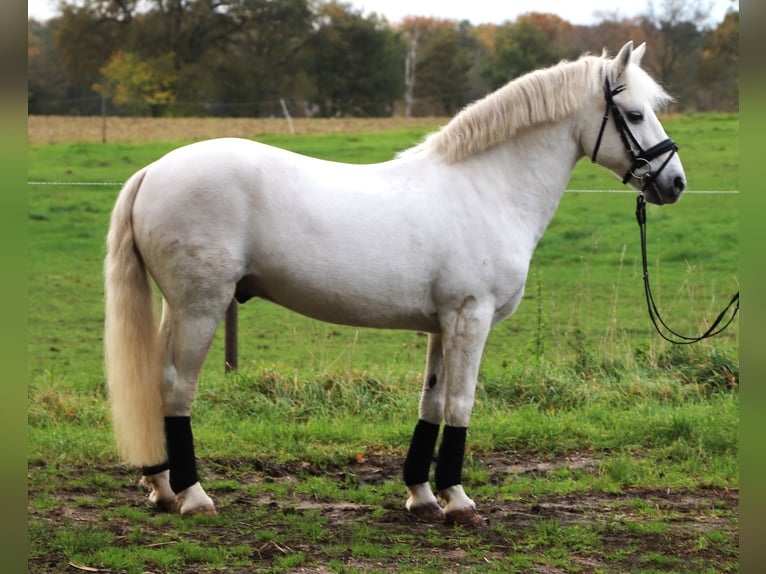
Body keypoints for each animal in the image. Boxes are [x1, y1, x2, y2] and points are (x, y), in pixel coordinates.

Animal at [104, 41, 685, 526]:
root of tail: (153, 171)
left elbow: (430, 404)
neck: (485, 188)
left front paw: (423, 496)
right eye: (635, 113)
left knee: (156, 383)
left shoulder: (442, 325)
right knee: (176, 388)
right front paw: (459, 501)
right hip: (201, 306)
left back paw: (161, 488)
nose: (675, 182)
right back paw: (193, 496)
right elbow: (460, 405)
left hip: (177, 308)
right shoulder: (471, 319)